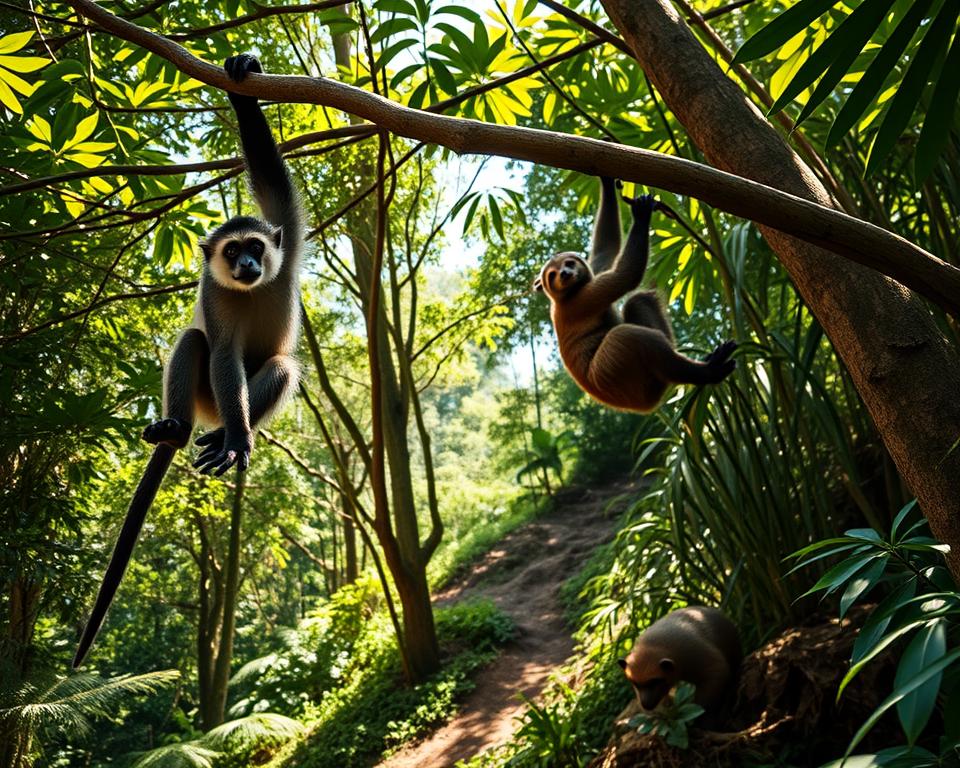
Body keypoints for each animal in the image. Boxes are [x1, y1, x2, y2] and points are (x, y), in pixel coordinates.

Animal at [73, 53, 303, 668]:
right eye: (232, 251)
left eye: (255, 247)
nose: (247, 264)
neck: (251, 289)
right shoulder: (215, 290)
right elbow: (219, 349)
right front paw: (240, 440)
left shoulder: (288, 243)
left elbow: (273, 183)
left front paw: (243, 79)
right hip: (205, 396)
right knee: (196, 344)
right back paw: (182, 429)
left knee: (281, 367)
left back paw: (223, 436)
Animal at [534, 177, 736, 413]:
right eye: (552, 275)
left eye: (569, 263)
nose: (565, 274)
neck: (562, 298)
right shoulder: (585, 298)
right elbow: (626, 276)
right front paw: (640, 216)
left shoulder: (592, 277)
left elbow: (606, 249)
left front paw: (606, 182)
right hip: (618, 373)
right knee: (627, 335)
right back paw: (706, 372)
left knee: (638, 301)